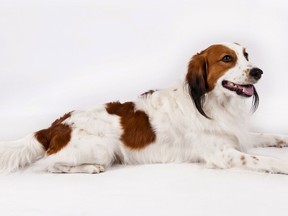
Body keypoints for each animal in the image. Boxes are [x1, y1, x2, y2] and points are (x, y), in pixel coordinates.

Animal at [0, 42, 288, 174]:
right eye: (227, 58)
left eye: (247, 56)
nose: (258, 71)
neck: (212, 103)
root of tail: (52, 127)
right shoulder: (222, 154)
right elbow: (260, 159)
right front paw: (282, 165)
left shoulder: (238, 134)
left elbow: (264, 135)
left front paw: (283, 139)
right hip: (102, 149)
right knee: (49, 164)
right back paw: (89, 168)